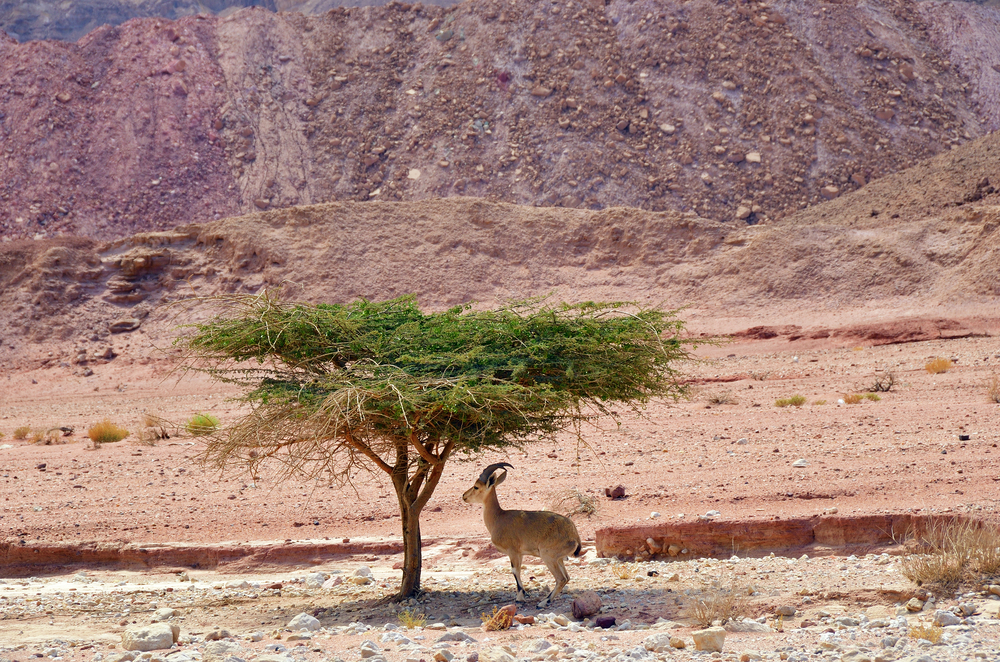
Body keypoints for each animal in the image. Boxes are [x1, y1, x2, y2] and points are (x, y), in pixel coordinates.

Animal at [462, 462, 583, 607]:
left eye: (476, 486)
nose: (464, 496)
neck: (498, 518)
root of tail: (574, 535)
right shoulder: (520, 554)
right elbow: (518, 571)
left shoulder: (513, 551)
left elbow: (515, 571)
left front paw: (520, 598)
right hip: (558, 559)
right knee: (567, 577)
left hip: (548, 556)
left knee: (561, 578)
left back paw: (543, 602)